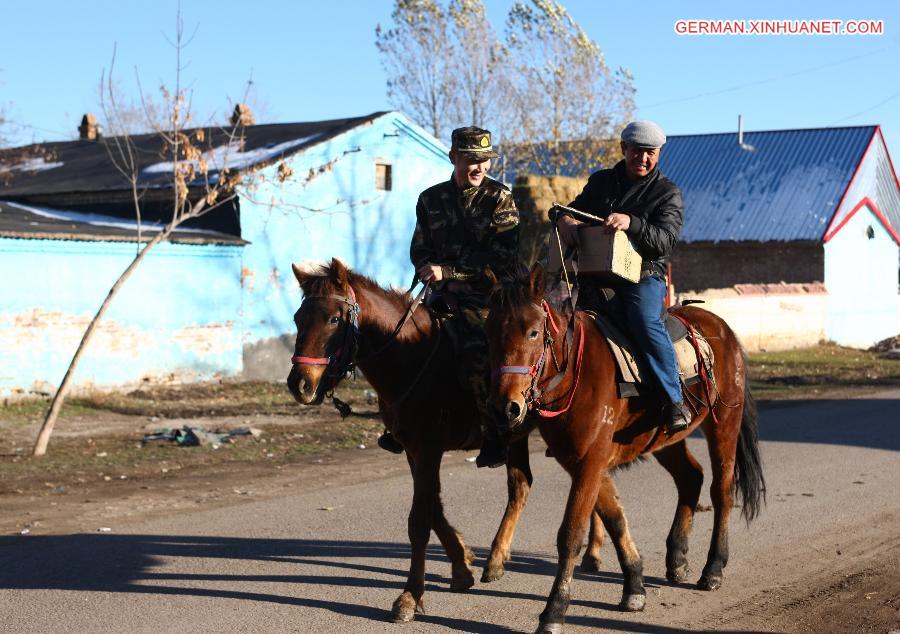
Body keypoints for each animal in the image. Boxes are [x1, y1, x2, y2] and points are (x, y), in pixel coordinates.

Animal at [288, 258, 604, 624]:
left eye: (334, 319)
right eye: (297, 319)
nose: (299, 384)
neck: (412, 357)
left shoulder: (428, 450)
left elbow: (419, 520)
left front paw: (410, 596)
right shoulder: (414, 450)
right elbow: (433, 507)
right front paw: (462, 565)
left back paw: (591, 551)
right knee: (526, 485)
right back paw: (508, 558)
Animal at [486, 264, 768, 628]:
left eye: (533, 332)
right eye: (489, 332)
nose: (505, 408)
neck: (574, 371)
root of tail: (721, 328)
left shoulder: (590, 460)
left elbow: (571, 534)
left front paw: (555, 610)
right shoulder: (581, 460)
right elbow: (615, 517)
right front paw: (634, 585)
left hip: (724, 424)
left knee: (722, 491)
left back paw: (713, 568)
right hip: (666, 439)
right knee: (690, 477)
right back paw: (677, 558)